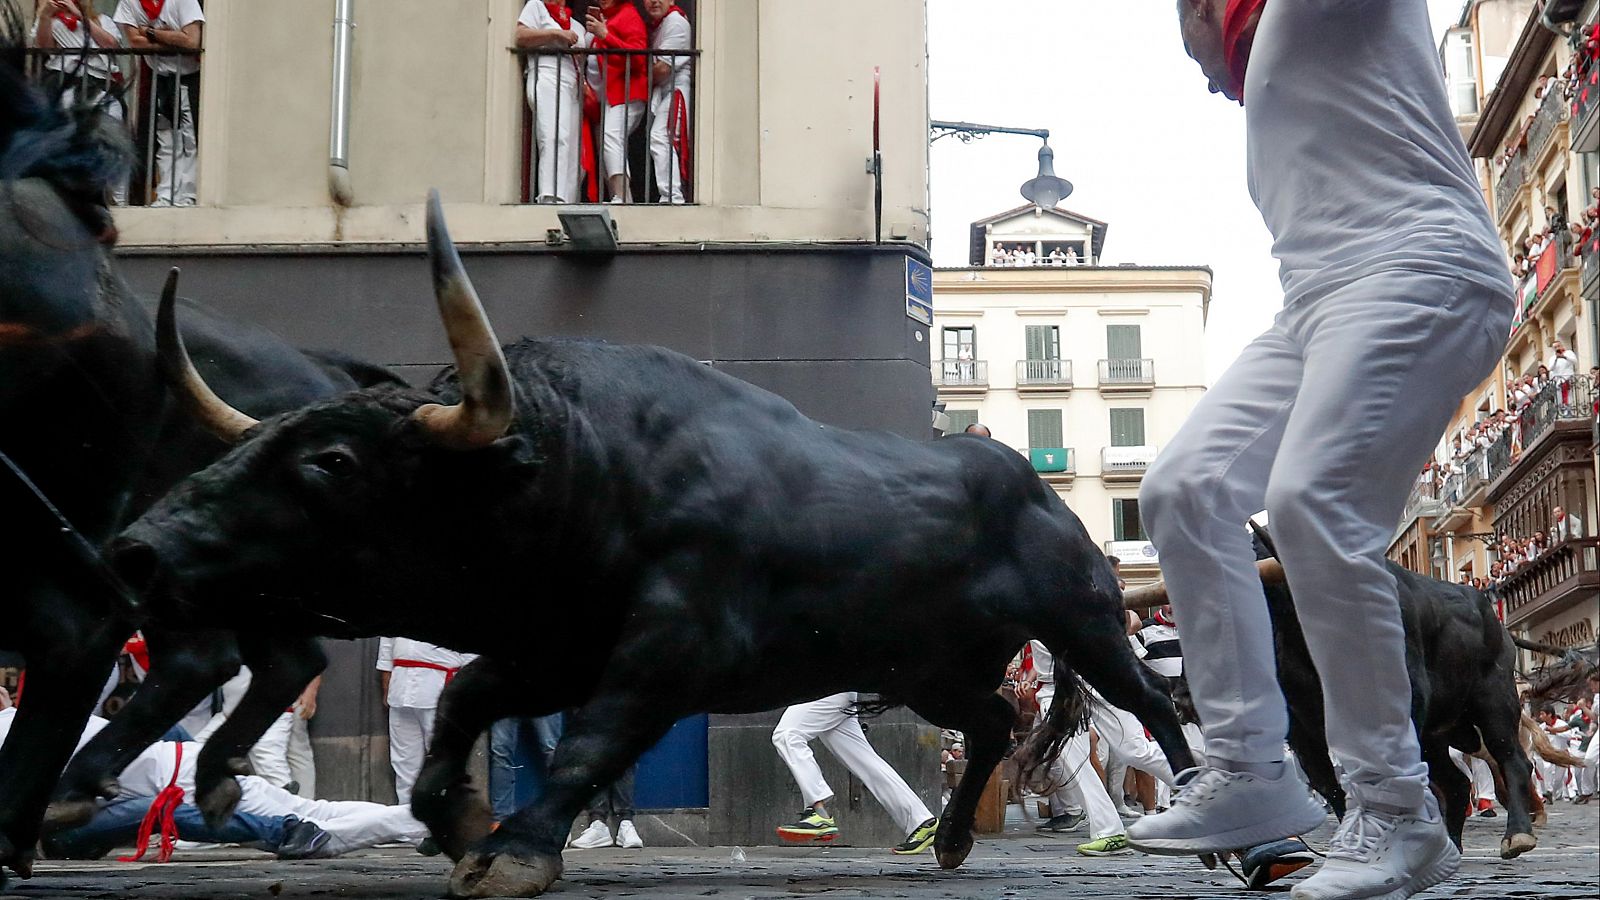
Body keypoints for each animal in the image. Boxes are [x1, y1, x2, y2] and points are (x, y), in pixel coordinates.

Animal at [112, 196, 1196, 896]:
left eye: (331, 462)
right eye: (253, 443)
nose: (139, 549)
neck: (587, 468)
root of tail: (1028, 485)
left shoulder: (670, 649)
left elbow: (593, 738)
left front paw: (515, 845)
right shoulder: (553, 647)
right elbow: (468, 698)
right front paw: (453, 816)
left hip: (1083, 619)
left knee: (1146, 699)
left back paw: (1193, 799)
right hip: (924, 666)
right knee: (993, 720)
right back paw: (954, 841)